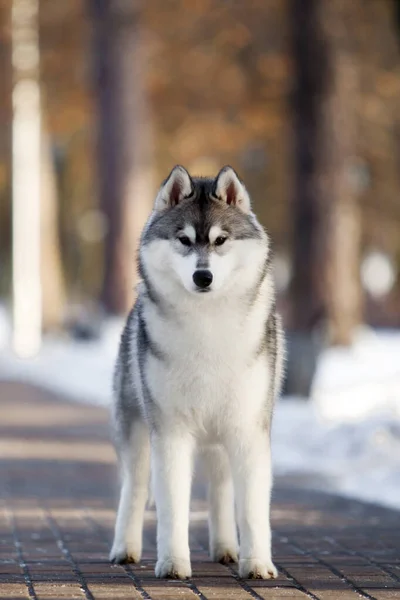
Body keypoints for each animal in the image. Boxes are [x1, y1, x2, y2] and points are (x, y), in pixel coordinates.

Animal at [109, 165, 284, 580]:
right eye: (184, 240)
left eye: (221, 240)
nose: (203, 277)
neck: (207, 326)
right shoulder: (170, 432)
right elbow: (173, 506)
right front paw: (173, 563)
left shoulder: (248, 429)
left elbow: (251, 508)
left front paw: (257, 564)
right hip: (136, 429)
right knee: (134, 488)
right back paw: (125, 548)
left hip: (221, 435)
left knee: (220, 489)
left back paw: (226, 548)